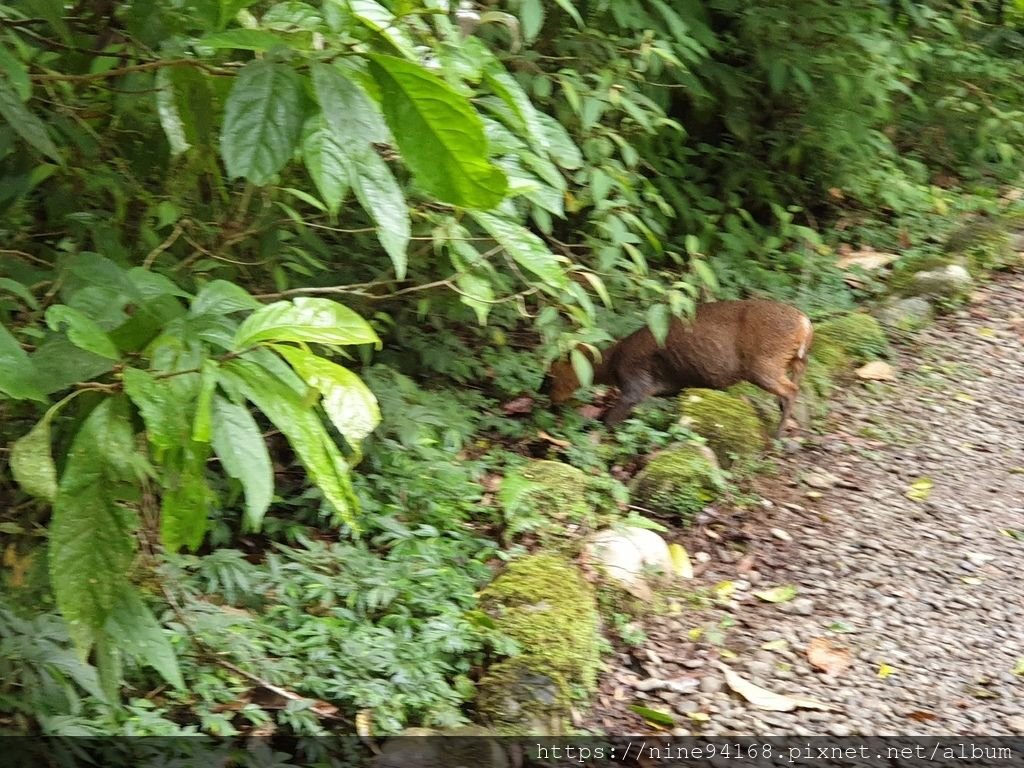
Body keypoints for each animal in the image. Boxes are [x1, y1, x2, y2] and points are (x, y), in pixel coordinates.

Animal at [540, 299, 811, 436]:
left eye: (551, 375)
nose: (546, 398)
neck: (612, 364)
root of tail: (805, 323)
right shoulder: (671, 387)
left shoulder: (635, 382)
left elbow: (610, 420)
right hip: (790, 360)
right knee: (797, 380)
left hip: (763, 363)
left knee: (791, 390)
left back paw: (778, 434)